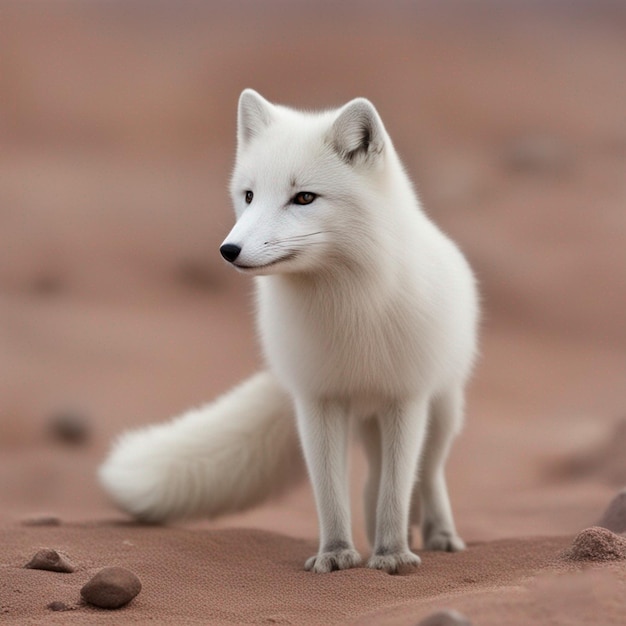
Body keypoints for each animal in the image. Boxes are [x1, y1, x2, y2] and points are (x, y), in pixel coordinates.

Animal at [98, 88, 478, 572]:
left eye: (304, 198)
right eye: (249, 195)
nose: (228, 250)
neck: (347, 314)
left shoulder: (405, 397)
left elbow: (396, 491)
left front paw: (392, 554)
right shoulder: (317, 399)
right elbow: (331, 492)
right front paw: (337, 554)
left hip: (442, 410)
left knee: (426, 475)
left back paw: (438, 534)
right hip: (367, 420)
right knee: (374, 481)